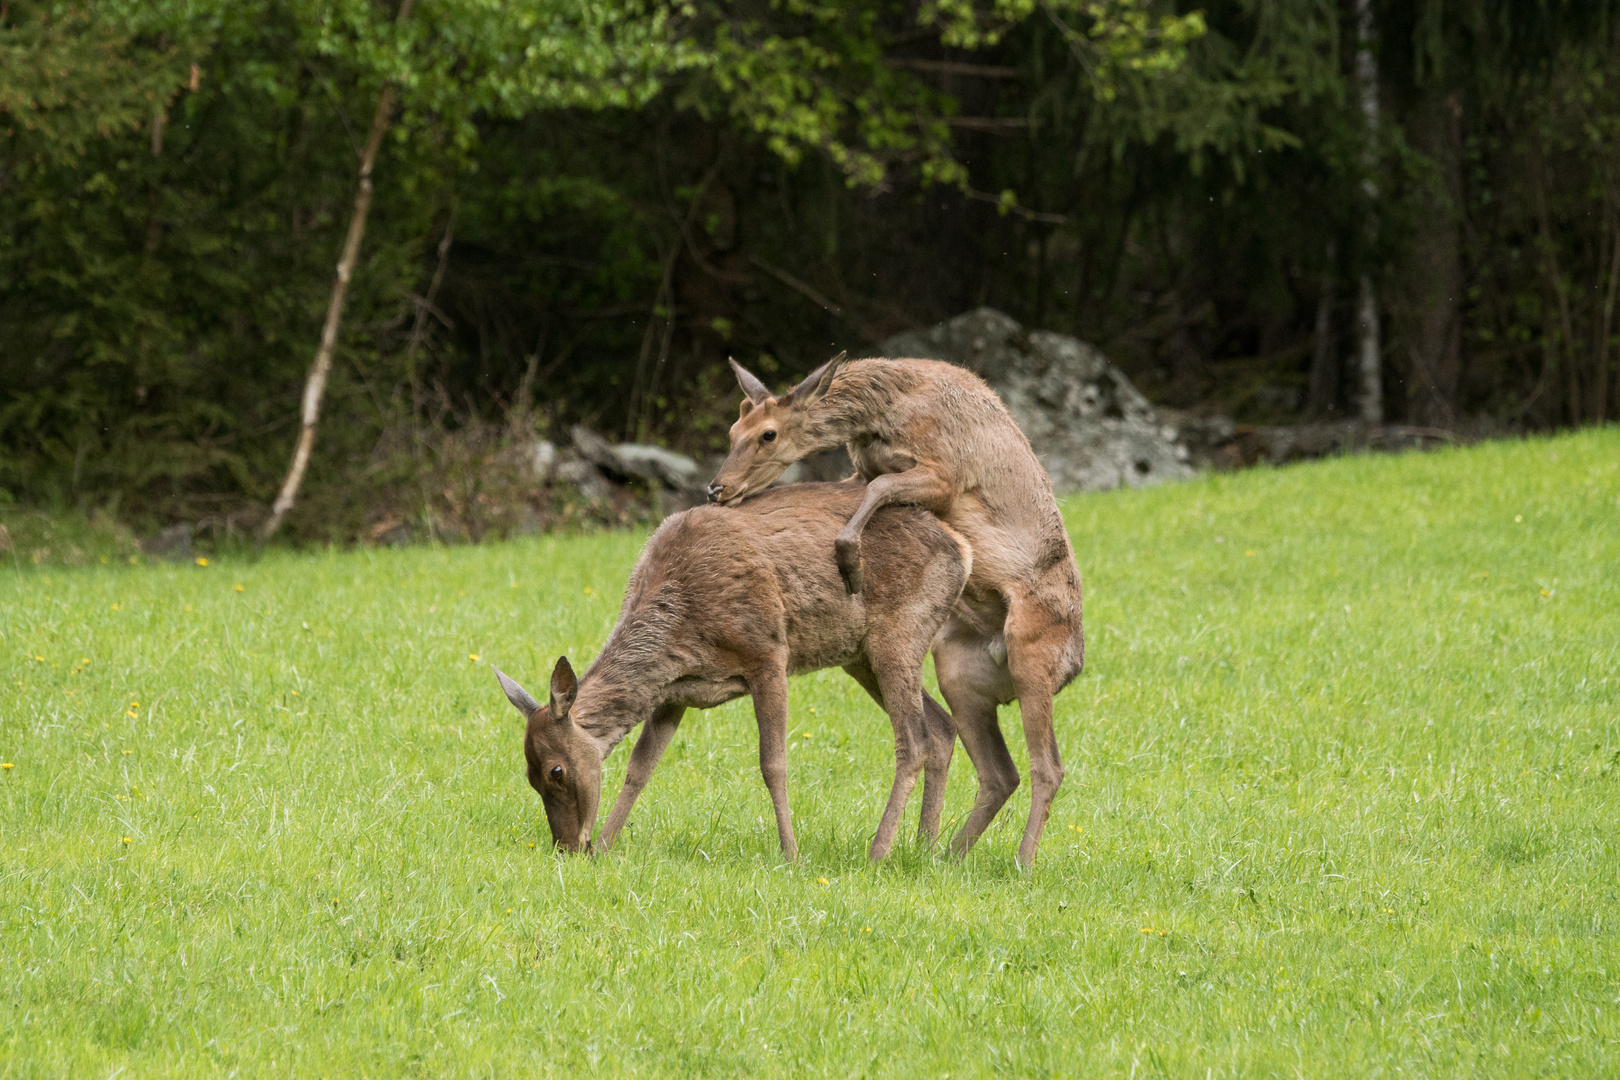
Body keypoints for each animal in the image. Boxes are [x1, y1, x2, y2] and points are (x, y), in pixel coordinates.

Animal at [486, 482, 965, 861]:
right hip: (859, 656)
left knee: (915, 739)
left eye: (556, 771)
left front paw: (791, 854)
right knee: (942, 727)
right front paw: (605, 846)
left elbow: (773, 763)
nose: (568, 848)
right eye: (528, 776)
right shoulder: (672, 692)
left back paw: (879, 851)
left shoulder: (768, 653)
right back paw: (924, 847)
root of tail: (963, 551)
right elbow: (640, 768)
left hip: (899, 632)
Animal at [712, 354, 1082, 867]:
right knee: (1000, 771)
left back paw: (1021, 863)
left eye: (768, 433)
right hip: (959, 672)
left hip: (1033, 653)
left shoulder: (946, 472)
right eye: (732, 429)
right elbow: (859, 487)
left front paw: (849, 558)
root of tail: (1075, 666)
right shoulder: (863, 469)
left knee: (1048, 766)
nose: (717, 488)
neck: (884, 414)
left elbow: (882, 487)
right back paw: (946, 855)